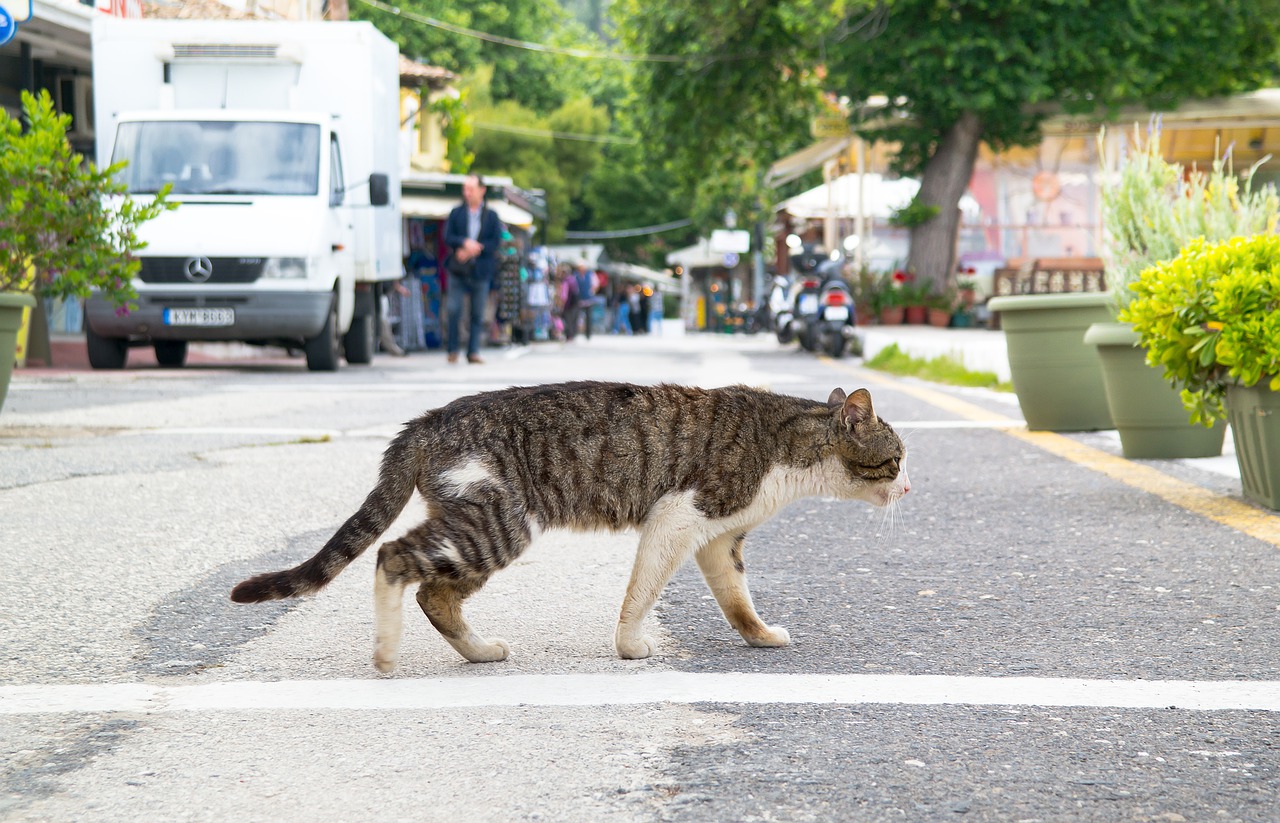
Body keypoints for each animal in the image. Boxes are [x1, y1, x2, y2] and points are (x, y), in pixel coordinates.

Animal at [232, 383, 911, 670]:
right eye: (899, 458)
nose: (908, 488)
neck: (789, 448)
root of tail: (422, 424)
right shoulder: (679, 515)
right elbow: (640, 592)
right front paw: (630, 646)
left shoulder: (719, 541)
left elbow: (737, 600)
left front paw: (761, 636)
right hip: (499, 523)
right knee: (393, 558)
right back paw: (385, 652)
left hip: (478, 527)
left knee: (435, 594)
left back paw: (479, 651)